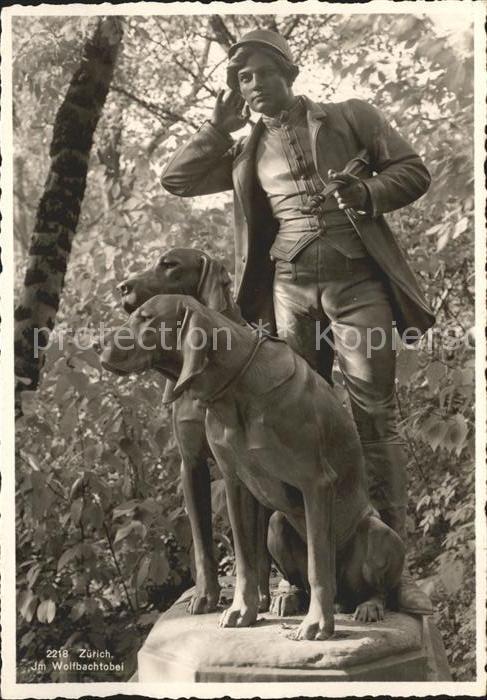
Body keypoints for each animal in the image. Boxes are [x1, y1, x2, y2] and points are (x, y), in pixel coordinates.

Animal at [101, 294, 406, 640]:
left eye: (146, 318)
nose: (98, 345)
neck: (234, 391)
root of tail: (345, 598)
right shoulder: (236, 484)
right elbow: (245, 559)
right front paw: (242, 612)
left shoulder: (316, 482)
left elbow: (318, 565)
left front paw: (316, 624)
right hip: (277, 527)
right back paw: (289, 599)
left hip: (380, 534)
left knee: (377, 586)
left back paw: (368, 606)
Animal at [117, 250, 272, 612]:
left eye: (170, 265)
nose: (122, 287)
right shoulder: (191, 463)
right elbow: (202, 541)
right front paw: (205, 595)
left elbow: (251, 541)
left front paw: (254, 598)